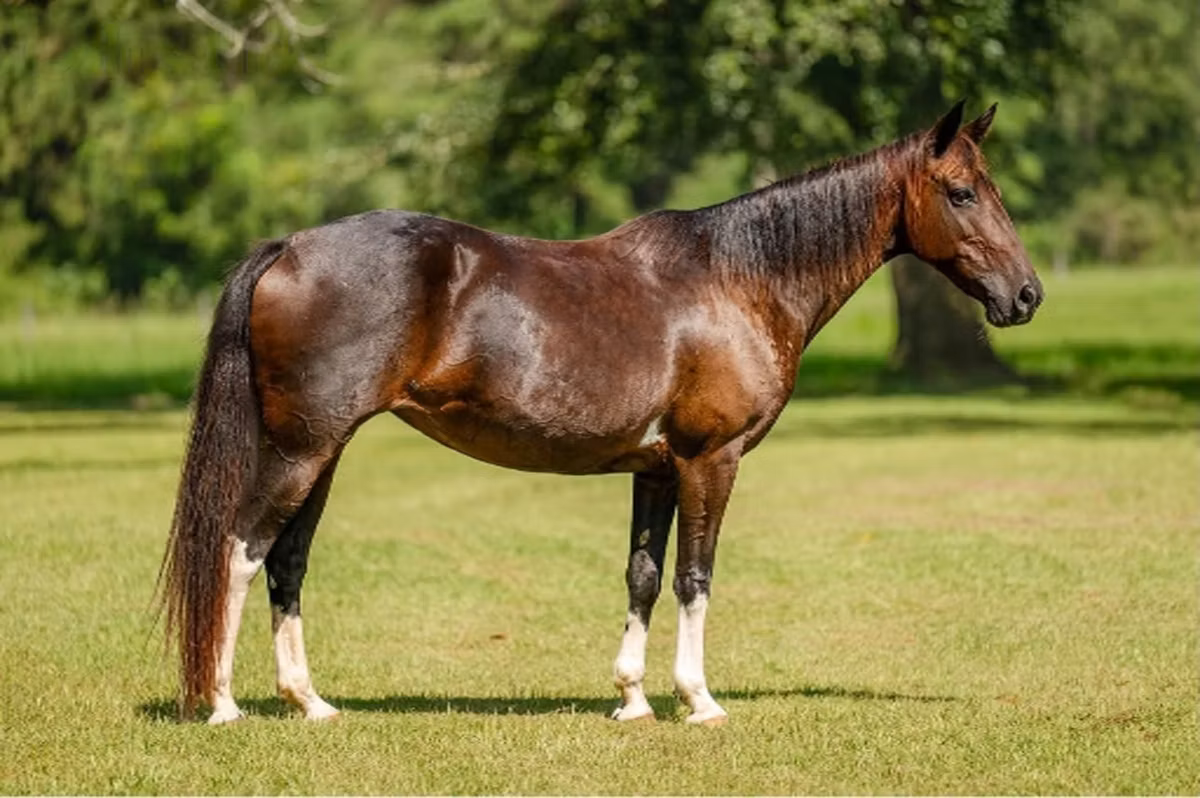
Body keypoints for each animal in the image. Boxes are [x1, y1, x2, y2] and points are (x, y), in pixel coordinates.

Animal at [159, 100, 1043, 725]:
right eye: (962, 192)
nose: (1027, 295)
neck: (738, 280)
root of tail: (289, 247)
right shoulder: (709, 459)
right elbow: (694, 577)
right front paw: (699, 701)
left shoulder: (656, 468)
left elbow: (643, 575)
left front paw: (633, 699)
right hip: (301, 450)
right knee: (241, 549)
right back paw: (224, 705)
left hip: (324, 451)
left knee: (287, 561)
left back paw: (309, 702)